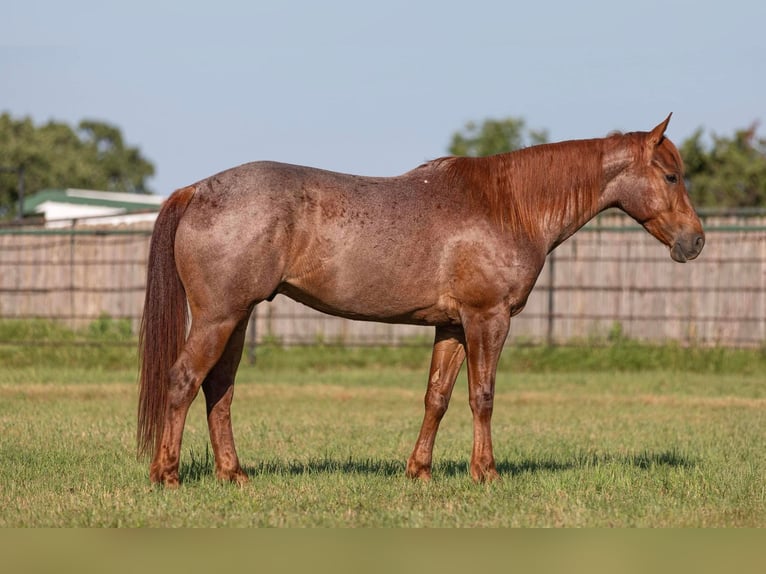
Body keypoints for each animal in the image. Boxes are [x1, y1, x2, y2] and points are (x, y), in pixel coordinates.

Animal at [138, 114, 704, 487]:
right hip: (218, 318)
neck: (508, 205)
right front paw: (486, 473)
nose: (695, 241)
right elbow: (482, 397)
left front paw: (420, 471)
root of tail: (197, 190)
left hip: (236, 319)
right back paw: (167, 475)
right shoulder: (487, 319)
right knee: (184, 381)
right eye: (671, 175)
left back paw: (234, 474)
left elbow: (438, 398)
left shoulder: (452, 326)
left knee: (219, 391)